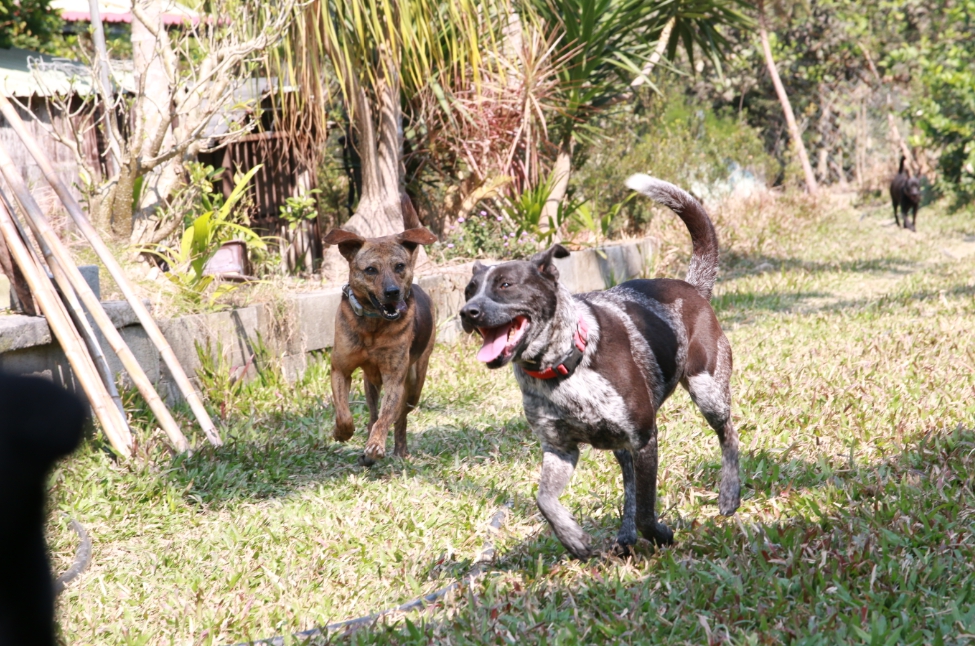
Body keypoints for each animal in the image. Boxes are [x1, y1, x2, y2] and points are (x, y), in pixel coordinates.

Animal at [324, 228, 438, 466]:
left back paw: (399, 450)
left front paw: (376, 445)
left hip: (414, 384)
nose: (392, 292)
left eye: (400, 266)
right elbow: (344, 413)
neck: (373, 325)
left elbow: (387, 416)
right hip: (371, 383)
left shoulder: (395, 378)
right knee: (373, 412)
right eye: (370, 269)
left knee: (400, 416)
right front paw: (341, 432)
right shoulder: (340, 370)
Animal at [458, 175, 740, 560]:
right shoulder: (560, 449)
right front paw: (573, 538)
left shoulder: (645, 438)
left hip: (707, 390)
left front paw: (661, 535)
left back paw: (729, 493)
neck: (561, 368)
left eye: (505, 285)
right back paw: (624, 537)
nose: (467, 312)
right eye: (468, 290)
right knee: (628, 486)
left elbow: (647, 509)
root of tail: (692, 287)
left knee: (728, 435)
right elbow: (545, 500)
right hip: (622, 445)